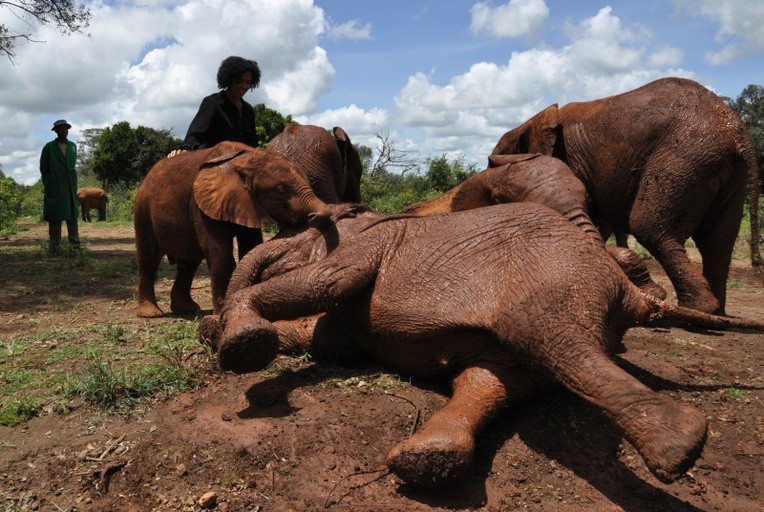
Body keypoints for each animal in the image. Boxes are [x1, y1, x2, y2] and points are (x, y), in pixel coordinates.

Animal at [134, 140, 352, 316]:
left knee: (189, 263)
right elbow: (220, 254)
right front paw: (221, 313)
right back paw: (151, 313)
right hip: (142, 209)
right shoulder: (201, 205)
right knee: (148, 259)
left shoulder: (245, 202)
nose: (309, 218)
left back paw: (187, 310)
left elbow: (250, 245)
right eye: (280, 190)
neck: (242, 159)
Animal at [198, 203, 764, 488]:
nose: (214, 320)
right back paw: (429, 460)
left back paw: (682, 446)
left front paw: (238, 342)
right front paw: (215, 333)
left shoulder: (370, 248)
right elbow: (328, 342)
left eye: (294, 236)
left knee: (558, 346)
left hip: (549, 282)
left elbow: (325, 285)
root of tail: (629, 294)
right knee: (496, 379)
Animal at [492, 77, 760, 316]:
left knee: (651, 227)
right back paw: (717, 312)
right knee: (717, 243)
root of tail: (739, 132)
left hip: (685, 160)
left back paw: (698, 309)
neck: (533, 121)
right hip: (726, 173)